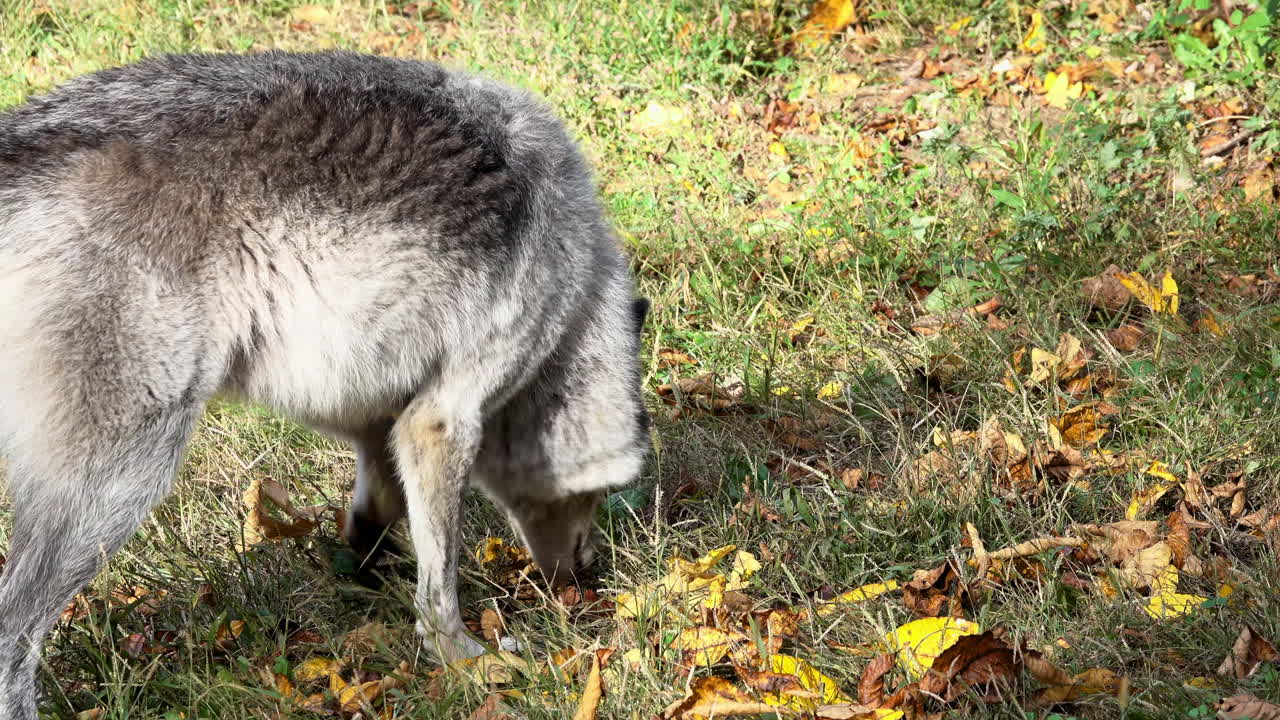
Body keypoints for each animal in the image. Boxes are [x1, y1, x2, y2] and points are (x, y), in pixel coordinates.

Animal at [0, 50, 650, 718]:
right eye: (602, 496)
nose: (587, 578)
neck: (576, 298)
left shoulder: (373, 408)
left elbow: (380, 503)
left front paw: (366, 566)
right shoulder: (444, 418)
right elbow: (440, 580)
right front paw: (461, 658)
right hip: (121, 481)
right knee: (14, 631)